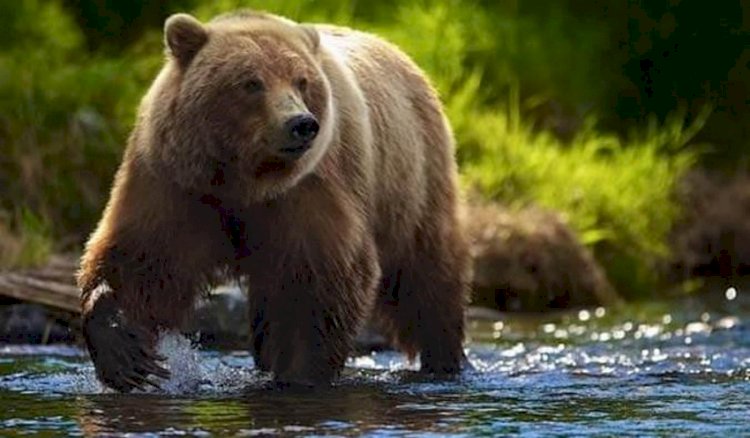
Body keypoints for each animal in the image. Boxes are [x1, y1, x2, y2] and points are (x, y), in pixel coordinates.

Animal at [79, 10, 472, 392]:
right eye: (251, 82)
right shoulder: (177, 181)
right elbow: (143, 258)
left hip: (412, 182)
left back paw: (444, 359)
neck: (243, 180)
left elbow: (316, 282)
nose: (301, 124)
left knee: (427, 275)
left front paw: (300, 374)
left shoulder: (307, 189)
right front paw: (126, 352)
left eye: (301, 81)